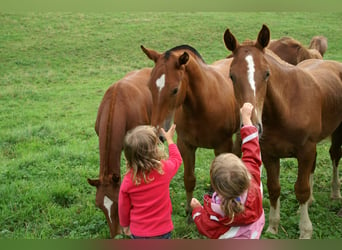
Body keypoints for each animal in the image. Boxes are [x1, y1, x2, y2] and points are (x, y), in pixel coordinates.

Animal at [140, 44, 239, 217]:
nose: (158, 134)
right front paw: (189, 210)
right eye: (150, 86)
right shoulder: (186, 145)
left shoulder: (222, 145)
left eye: (175, 90)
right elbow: (189, 178)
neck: (202, 106)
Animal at [223, 24, 342, 238]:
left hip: (337, 133)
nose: (252, 125)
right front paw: (273, 226)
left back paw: (335, 193)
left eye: (267, 74)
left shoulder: (305, 150)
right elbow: (274, 188)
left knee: (335, 156)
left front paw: (305, 230)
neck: (286, 108)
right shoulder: (270, 154)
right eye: (232, 76)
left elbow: (301, 189)